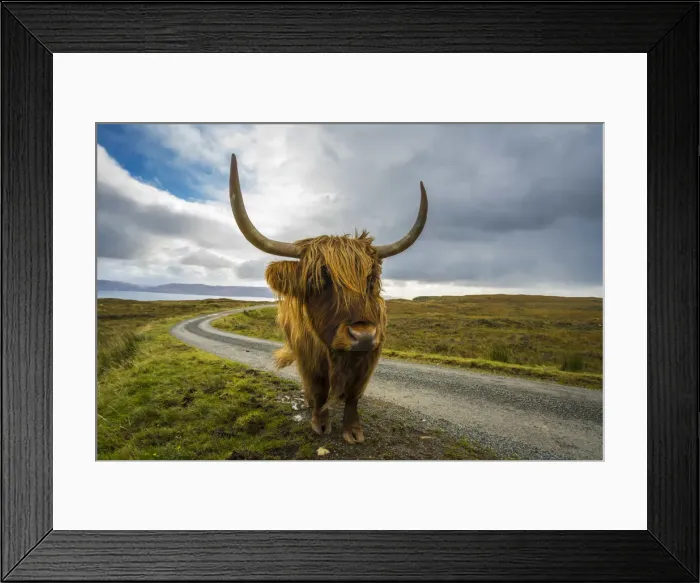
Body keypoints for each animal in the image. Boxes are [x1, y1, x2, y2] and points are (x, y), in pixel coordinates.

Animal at [228, 153, 428, 444]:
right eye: (319, 280)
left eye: (371, 279)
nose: (363, 335)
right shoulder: (309, 356)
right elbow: (319, 387)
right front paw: (320, 423)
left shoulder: (368, 358)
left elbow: (354, 395)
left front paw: (353, 431)